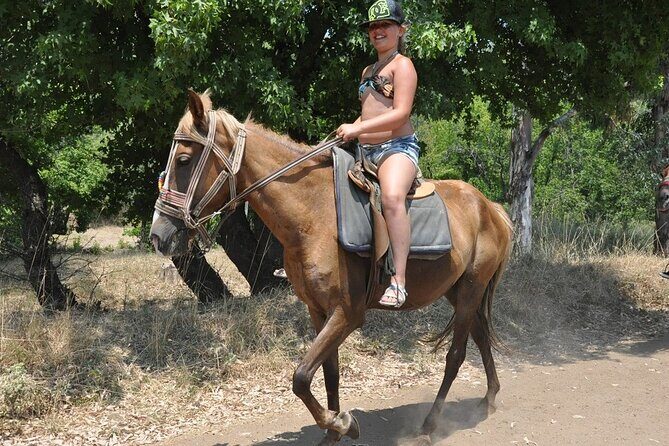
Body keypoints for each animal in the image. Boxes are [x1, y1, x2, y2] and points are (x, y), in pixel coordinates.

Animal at [150, 90, 513, 446]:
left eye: (184, 160)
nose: (159, 235)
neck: (314, 214)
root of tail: (489, 207)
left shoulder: (347, 313)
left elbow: (301, 376)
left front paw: (341, 422)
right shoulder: (318, 310)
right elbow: (328, 373)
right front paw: (333, 431)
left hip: (470, 289)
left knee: (456, 355)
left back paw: (429, 425)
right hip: (458, 291)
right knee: (481, 336)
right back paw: (489, 398)